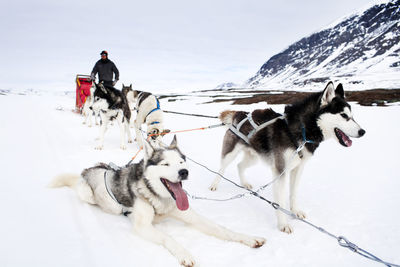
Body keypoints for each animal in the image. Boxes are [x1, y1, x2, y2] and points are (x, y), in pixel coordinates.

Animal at [50, 136, 266, 267]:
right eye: (166, 164)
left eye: (181, 162)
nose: (183, 172)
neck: (160, 198)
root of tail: (87, 171)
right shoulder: (143, 226)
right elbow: (168, 238)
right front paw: (184, 254)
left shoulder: (192, 216)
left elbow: (222, 229)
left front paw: (248, 238)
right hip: (87, 192)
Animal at [209, 81, 366, 234]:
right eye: (344, 115)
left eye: (352, 116)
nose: (363, 131)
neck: (302, 131)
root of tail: (239, 113)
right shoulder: (281, 170)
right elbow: (280, 201)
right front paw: (283, 224)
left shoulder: (298, 168)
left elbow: (293, 193)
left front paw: (295, 211)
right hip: (230, 153)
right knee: (222, 168)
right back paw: (214, 185)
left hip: (254, 158)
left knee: (240, 165)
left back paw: (245, 183)